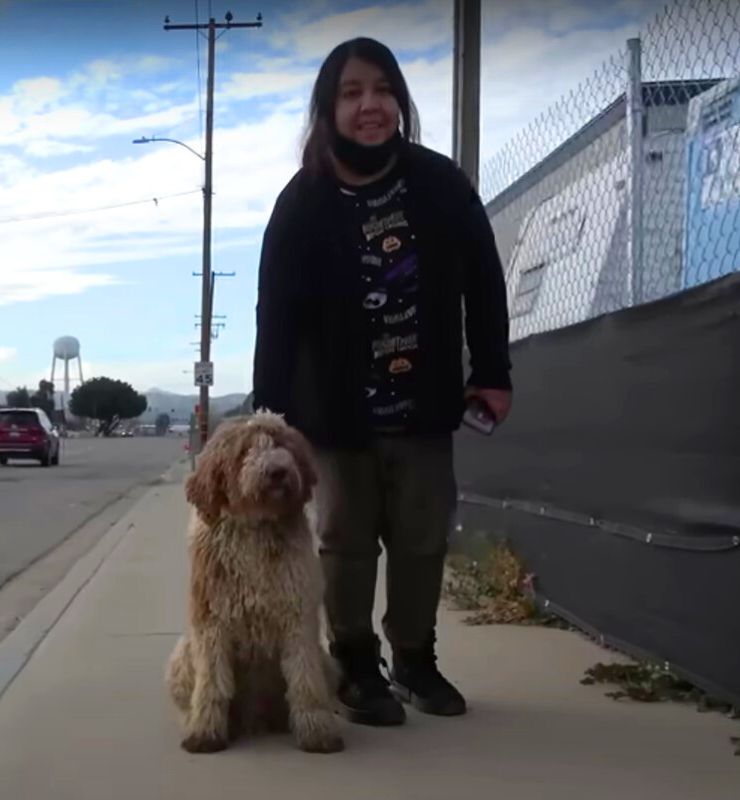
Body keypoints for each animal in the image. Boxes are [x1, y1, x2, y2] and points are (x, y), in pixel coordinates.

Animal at [165, 412, 344, 756]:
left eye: (281, 443)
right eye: (245, 450)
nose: (277, 471)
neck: (255, 528)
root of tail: (257, 719)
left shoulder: (298, 617)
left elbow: (304, 681)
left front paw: (317, 732)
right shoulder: (212, 623)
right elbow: (212, 685)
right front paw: (205, 732)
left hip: (327, 663)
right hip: (181, 654)